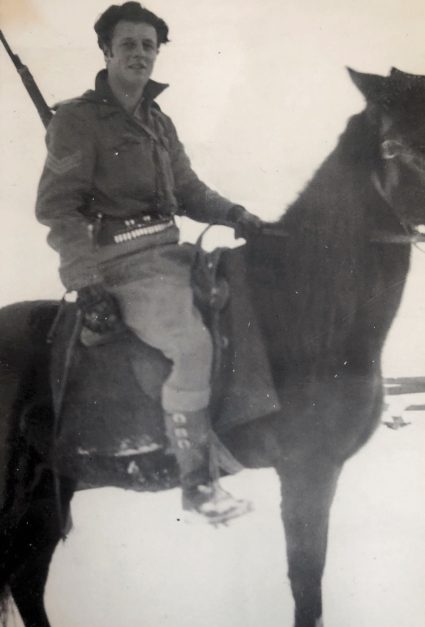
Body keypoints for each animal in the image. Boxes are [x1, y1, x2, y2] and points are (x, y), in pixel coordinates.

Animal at [0, 66, 424, 624]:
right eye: (396, 146)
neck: (303, 303)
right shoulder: (307, 470)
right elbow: (306, 592)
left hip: (47, 492)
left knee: (25, 577)